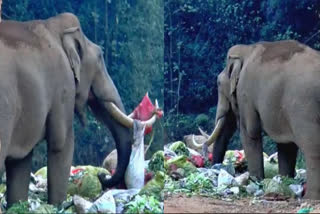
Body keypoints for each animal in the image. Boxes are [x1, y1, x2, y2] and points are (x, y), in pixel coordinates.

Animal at [0, 12, 144, 206]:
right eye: (100, 57)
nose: (102, 175)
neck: (53, 26)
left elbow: (21, 161)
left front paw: (18, 206)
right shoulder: (63, 85)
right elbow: (62, 143)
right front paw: (58, 206)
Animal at [192, 39, 320, 199]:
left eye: (218, 83)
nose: (214, 168)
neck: (247, 49)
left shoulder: (245, 94)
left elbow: (249, 132)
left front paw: (255, 181)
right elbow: (286, 145)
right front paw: (284, 182)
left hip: (304, 108)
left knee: (312, 149)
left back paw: (310, 198)